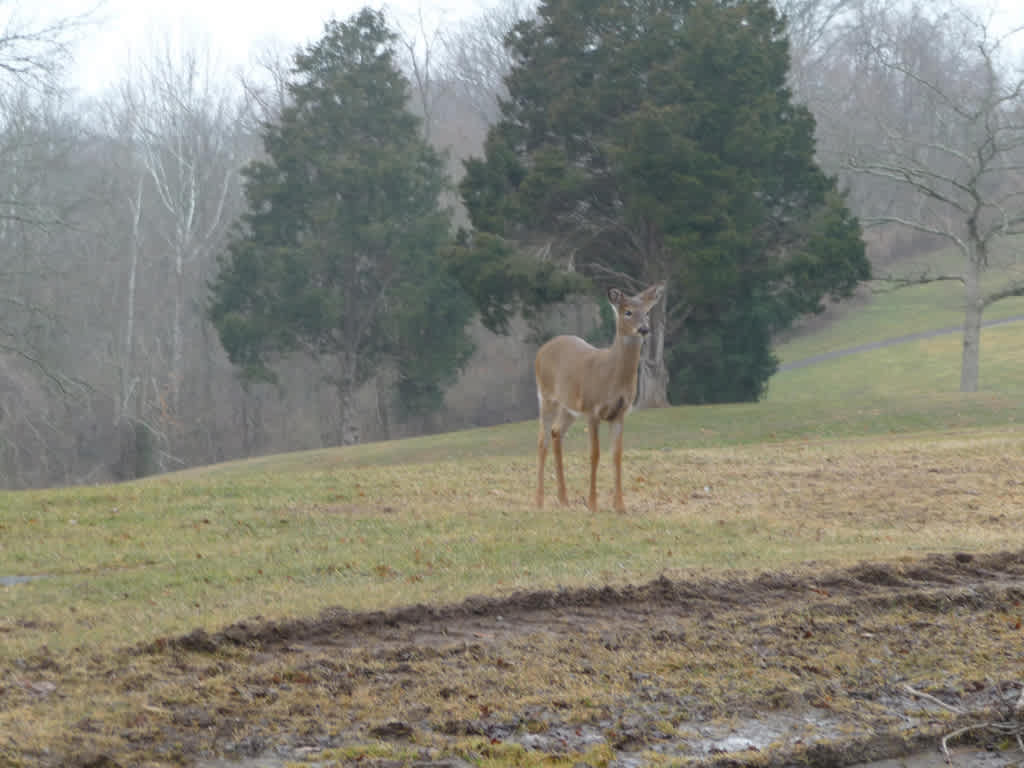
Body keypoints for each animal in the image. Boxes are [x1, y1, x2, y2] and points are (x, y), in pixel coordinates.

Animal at [532, 280, 667, 514]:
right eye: (628, 312)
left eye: (647, 312)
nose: (644, 329)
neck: (611, 376)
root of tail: (542, 350)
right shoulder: (592, 409)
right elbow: (594, 454)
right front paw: (593, 504)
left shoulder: (620, 413)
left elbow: (617, 455)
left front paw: (620, 506)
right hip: (547, 396)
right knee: (543, 441)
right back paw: (539, 502)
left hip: (568, 407)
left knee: (556, 432)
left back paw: (564, 500)